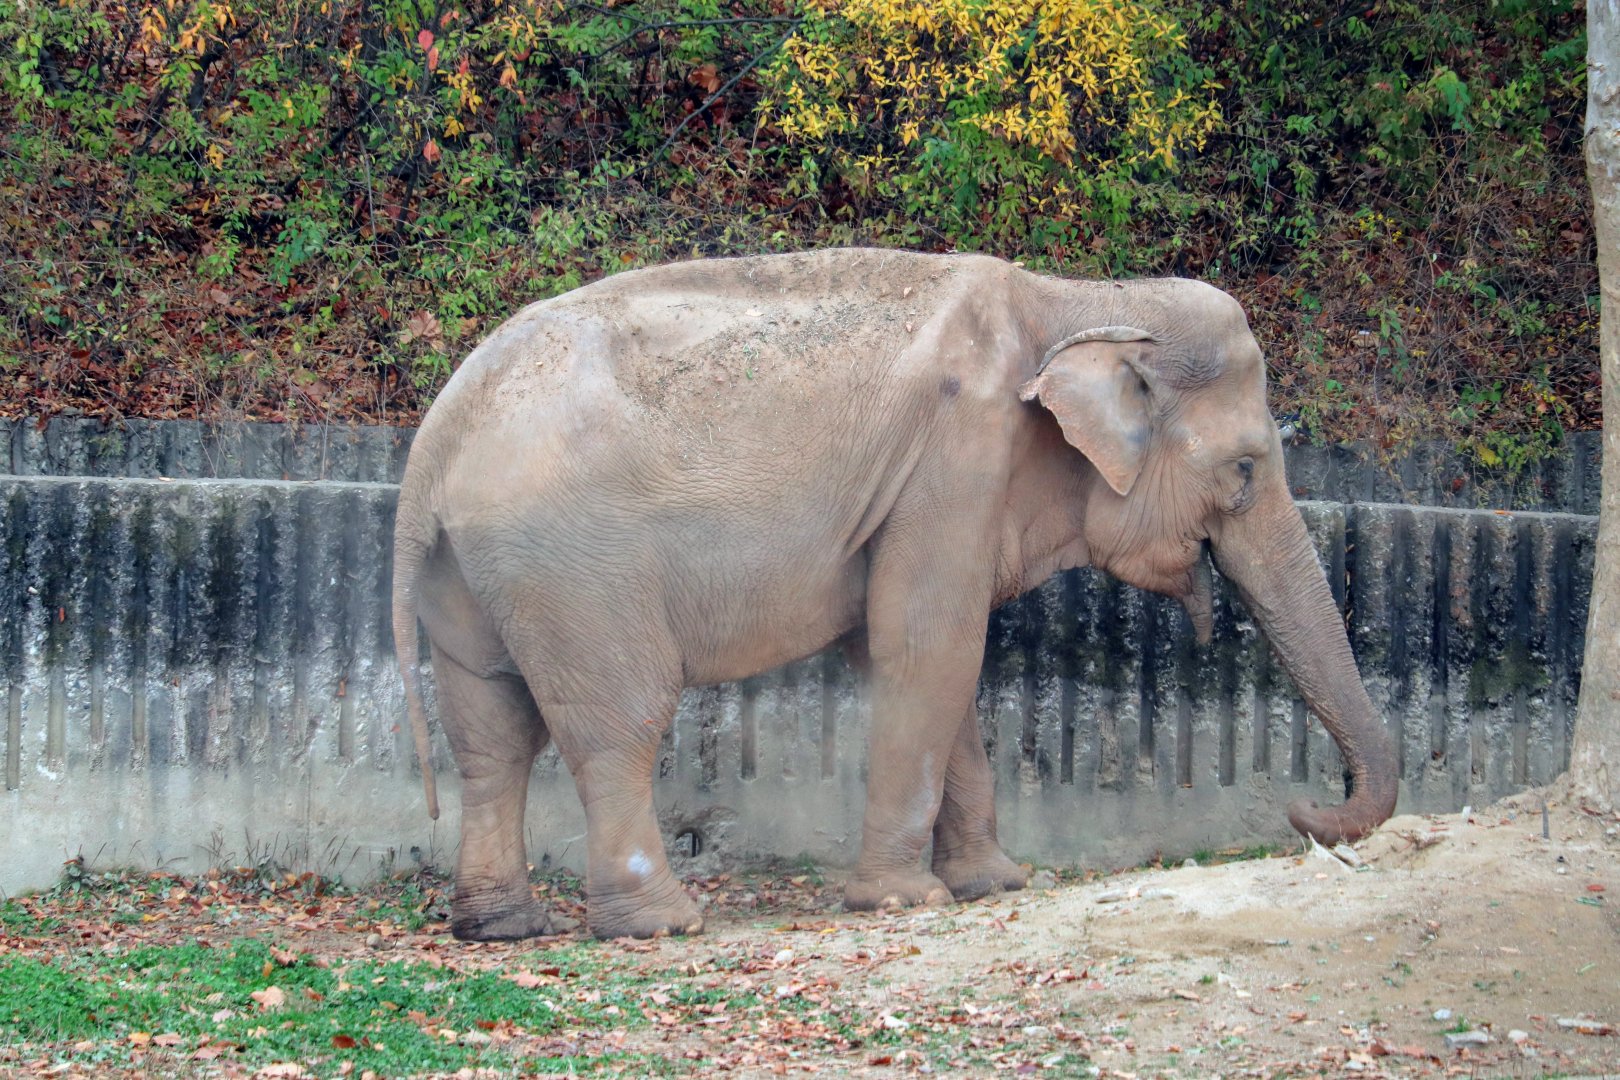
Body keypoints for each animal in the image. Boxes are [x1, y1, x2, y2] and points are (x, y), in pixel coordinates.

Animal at [391, 248, 1398, 942]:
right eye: (1245, 470)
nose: (1306, 813)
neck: (1085, 298)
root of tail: (435, 436)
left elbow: (924, 660)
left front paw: (996, 883)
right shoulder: (957, 459)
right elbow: (929, 647)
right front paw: (905, 901)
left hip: (474, 571)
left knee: (492, 733)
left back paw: (500, 927)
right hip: (574, 568)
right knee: (619, 724)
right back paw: (662, 923)